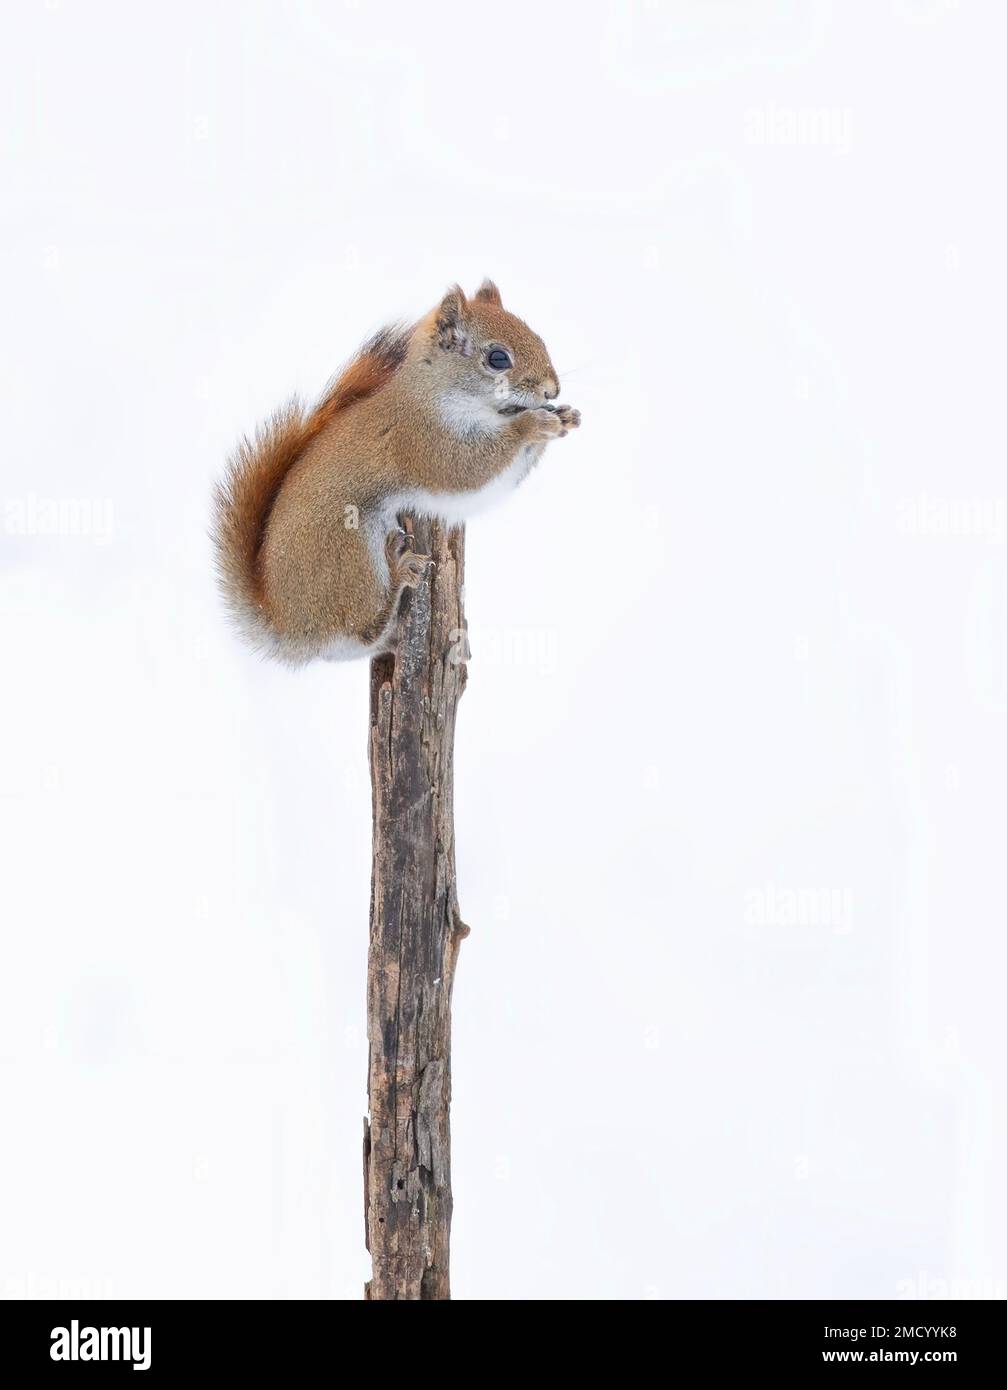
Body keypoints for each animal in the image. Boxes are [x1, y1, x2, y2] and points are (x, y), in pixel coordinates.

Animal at [213, 280, 580, 665]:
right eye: (498, 358)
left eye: (539, 338)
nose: (551, 390)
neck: (434, 393)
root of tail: (289, 629)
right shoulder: (424, 444)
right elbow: (470, 468)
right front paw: (533, 424)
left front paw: (564, 416)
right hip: (350, 554)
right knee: (362, 626)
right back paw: (399, 570)